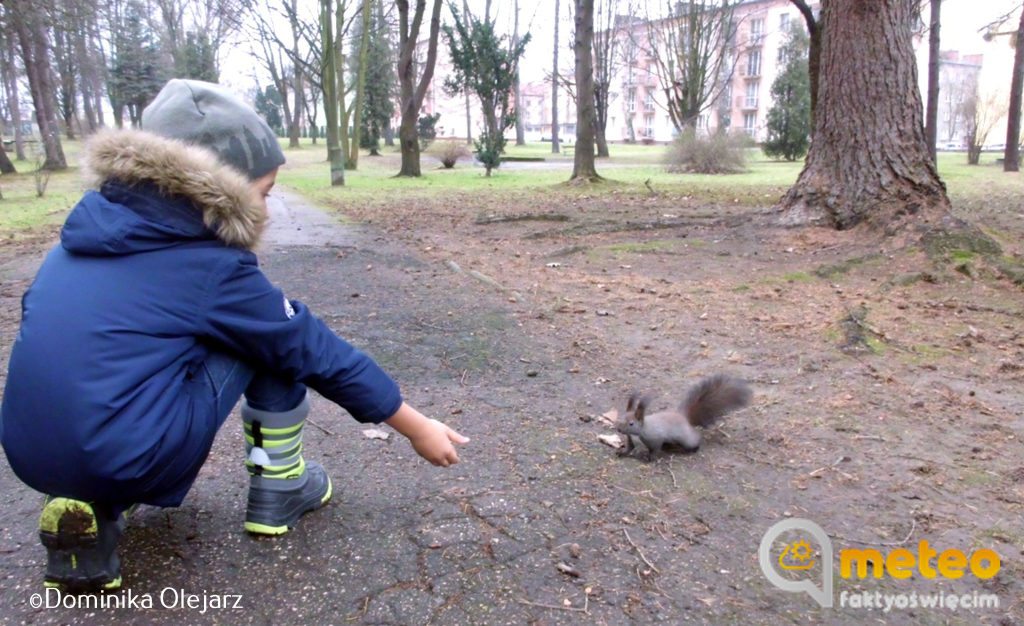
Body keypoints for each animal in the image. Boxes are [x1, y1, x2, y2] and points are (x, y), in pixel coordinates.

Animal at [614, 372, 753, 461]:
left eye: (631, 423)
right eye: (621, 417)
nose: (618, 429)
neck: (642, 429)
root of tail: (684, 417)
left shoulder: (655, 438)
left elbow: (655, 449)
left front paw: (650, 457)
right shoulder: (631, 439)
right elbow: (630, 448)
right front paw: (622, 452)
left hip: (686, 438)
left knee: (694, 439)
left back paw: (694, 448)